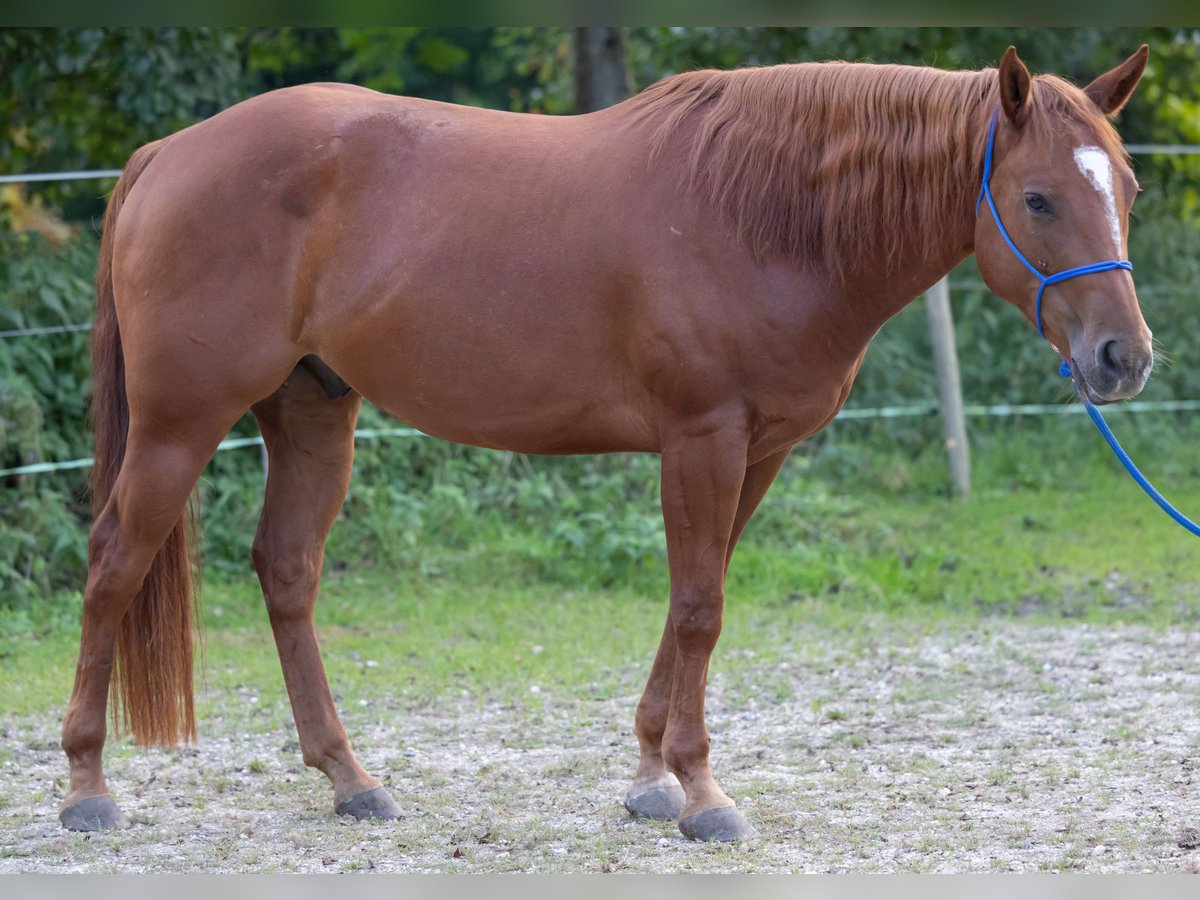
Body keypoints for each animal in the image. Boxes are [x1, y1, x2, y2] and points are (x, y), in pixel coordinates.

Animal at [63, 45, 1152, 844]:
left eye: (1130, 188)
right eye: (1039, 198)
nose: (1124, 358)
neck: (765, 214)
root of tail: (167, 153)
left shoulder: (757, 452)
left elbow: (689, 602)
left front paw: (652, 777)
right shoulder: (703, 439)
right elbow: (702, 610)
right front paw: (704, 796)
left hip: (314, 415)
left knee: (286, 572)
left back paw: (350, 779)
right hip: (179, 425)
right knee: (114, 563)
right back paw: (86, 786)